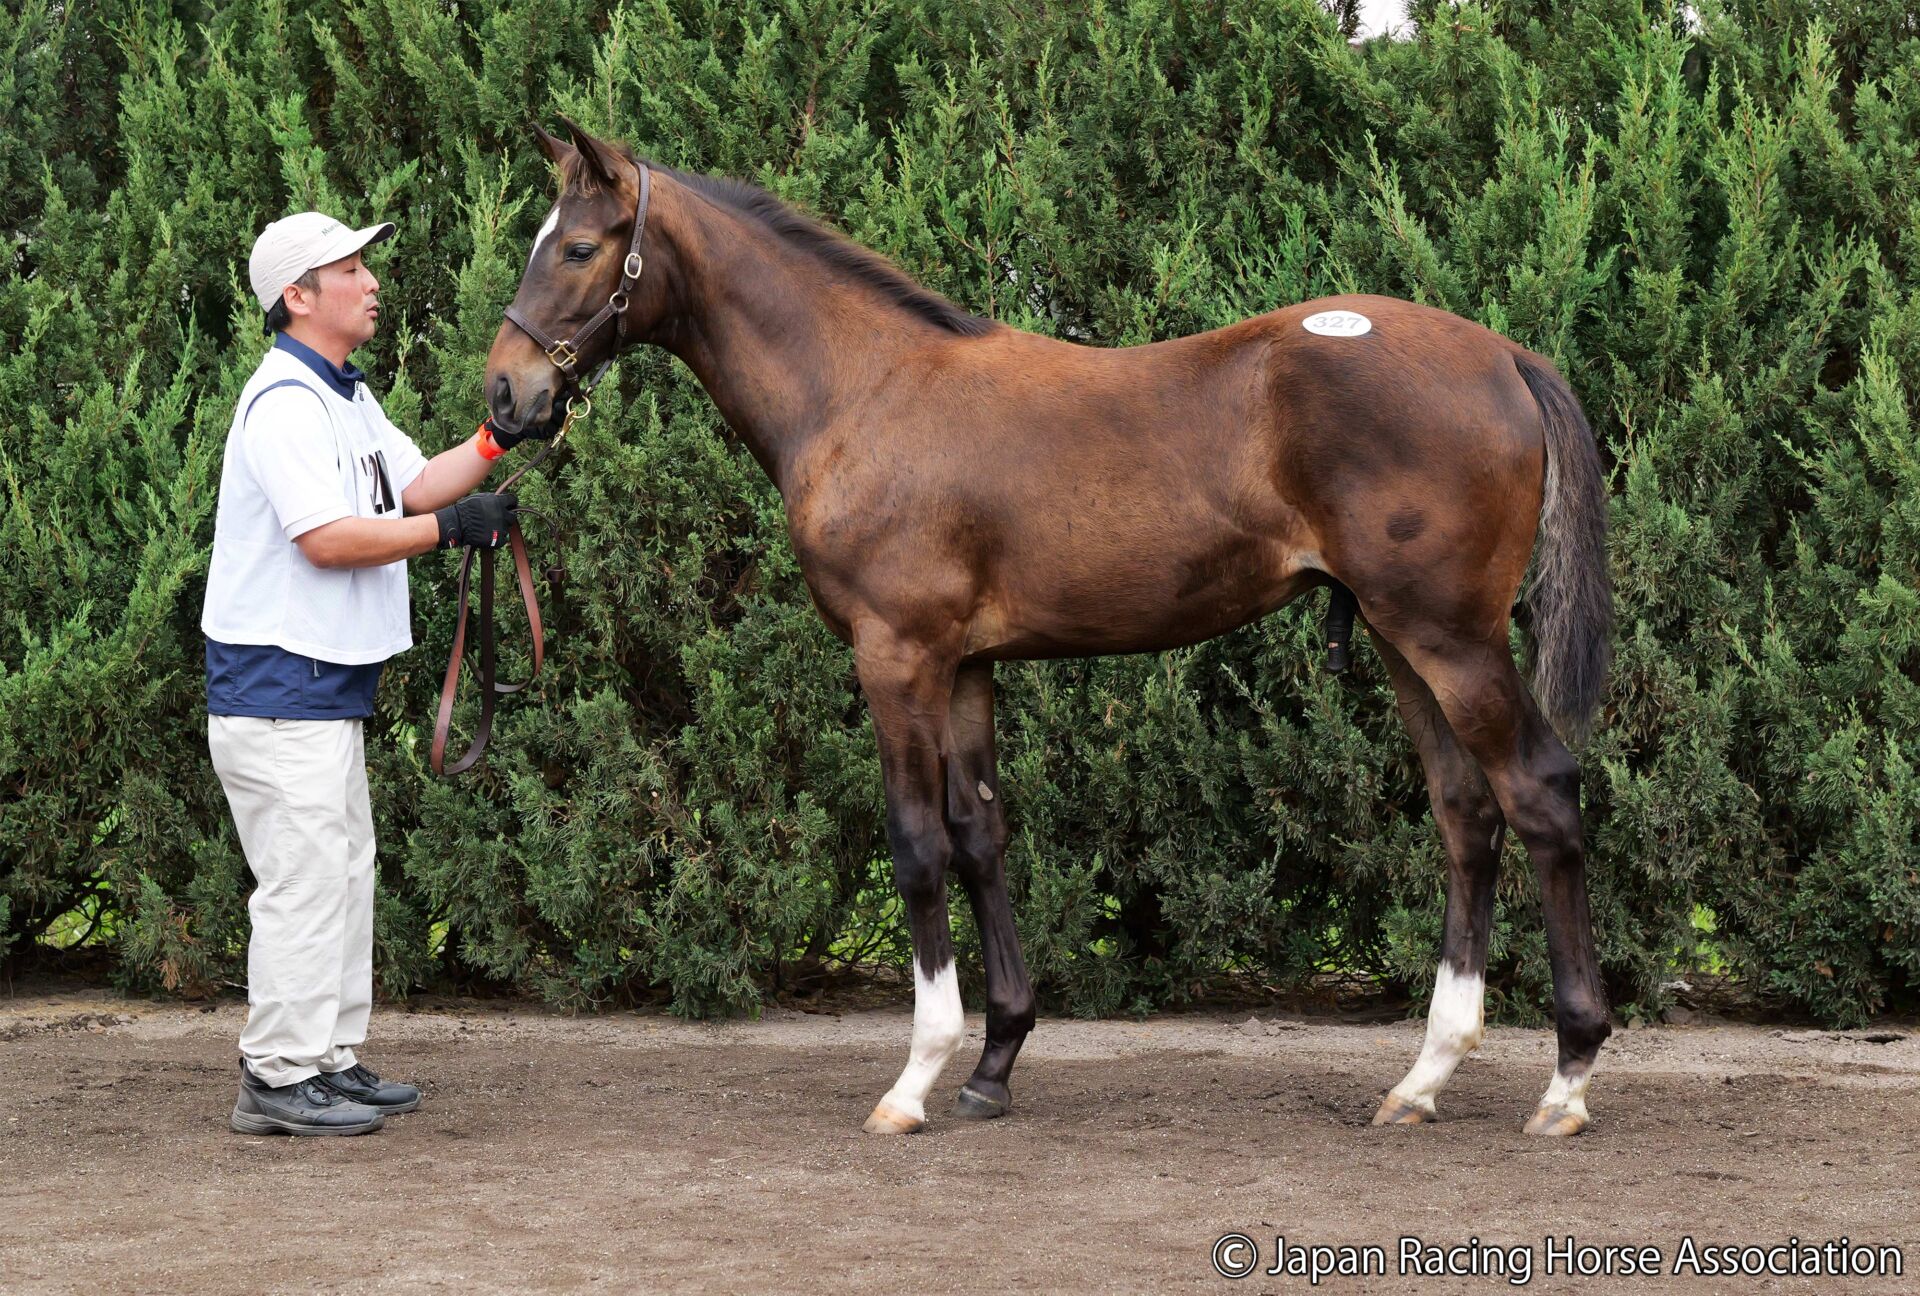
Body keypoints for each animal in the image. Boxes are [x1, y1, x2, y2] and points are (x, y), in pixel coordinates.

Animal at [483, 118, 1615, 1138]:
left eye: (577, 248)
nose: (506, 394)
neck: (864, 389)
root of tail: (1506, 356)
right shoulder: (968, 664)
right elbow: (981, 836)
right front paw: (993, 1066)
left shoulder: (897, 655)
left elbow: (917, 844)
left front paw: (915, 1079)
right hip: (1399, 637)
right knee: (1466, 815)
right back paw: (1422, 1080)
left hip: (1450, 637)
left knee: (1540, 794)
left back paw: (1567, 1081)